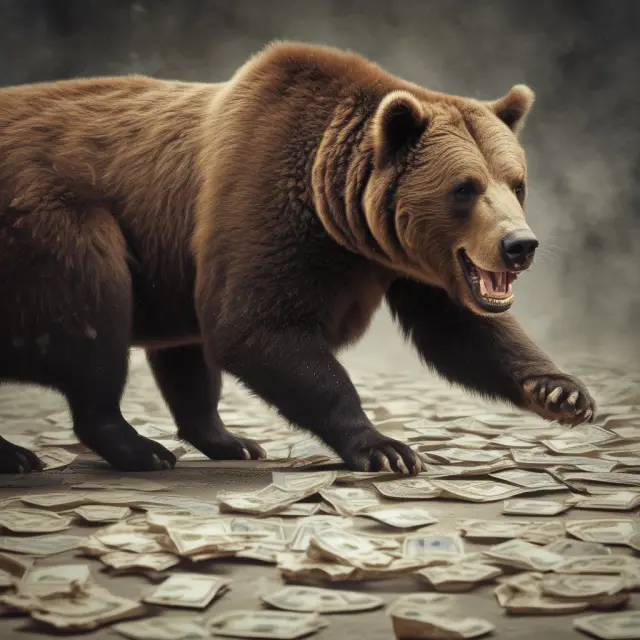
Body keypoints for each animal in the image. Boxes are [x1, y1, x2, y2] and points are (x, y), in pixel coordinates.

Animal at [0, 41, 595, 475]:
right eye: (464, 188)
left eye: (515, 183)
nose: (520, 245)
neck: (342, 216)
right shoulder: (263, 200)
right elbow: (258, 327)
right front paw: (385, 447)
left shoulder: (408, 263)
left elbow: (462, 331)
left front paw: (563, 393)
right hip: (54, 226)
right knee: (95, 319)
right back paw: (132, 450)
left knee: (180, 356)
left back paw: (228, 441)